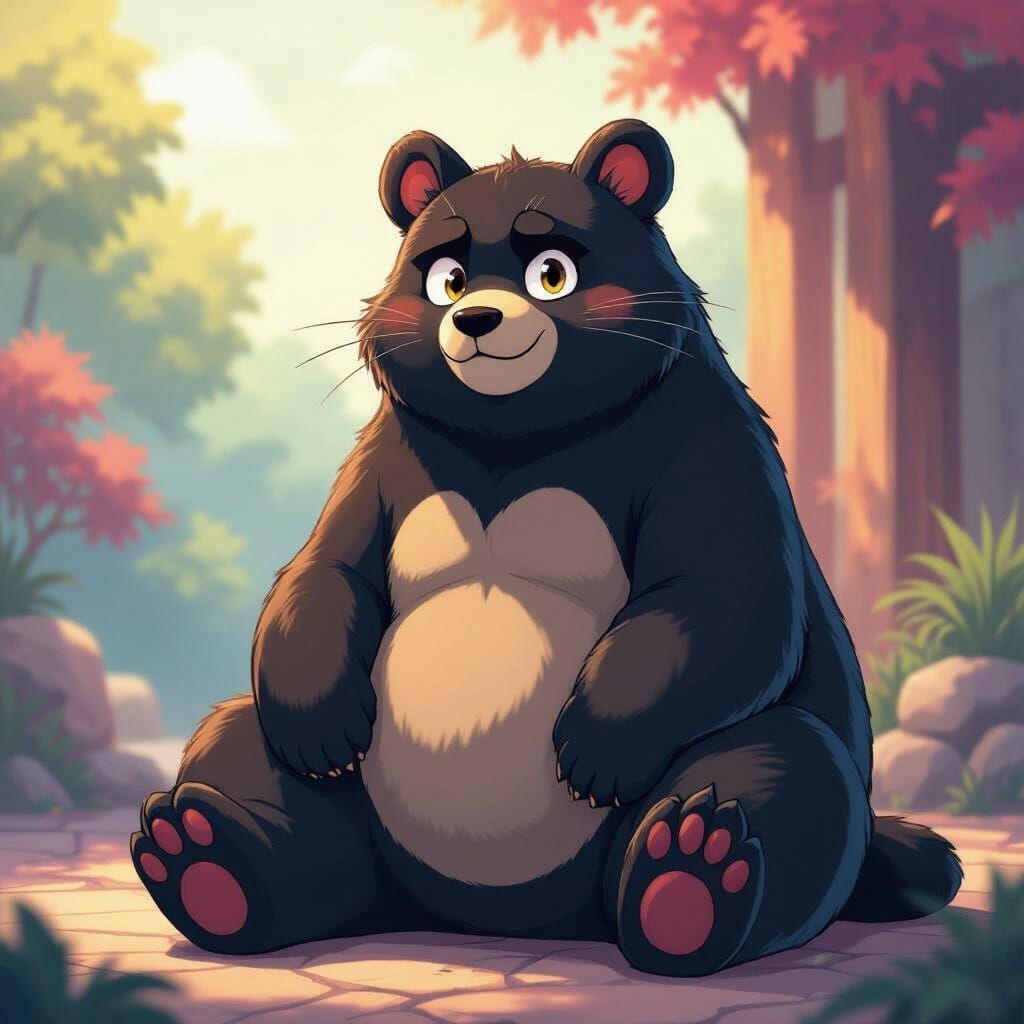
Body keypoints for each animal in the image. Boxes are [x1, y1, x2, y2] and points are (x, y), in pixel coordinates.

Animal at [131, 119, 962, 978]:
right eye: (448, 277)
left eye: (550, 271)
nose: (475, 321)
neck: (518, 434)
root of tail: (484, 914)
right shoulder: (392, 452)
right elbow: (326, 569)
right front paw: (320, 726)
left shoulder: (702, 437)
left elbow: (724, 594)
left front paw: (594, 748)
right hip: (357, 812)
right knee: (241, 748)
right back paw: (208, 857)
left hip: (749, 773)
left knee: (786, 770)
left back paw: (690, 878)